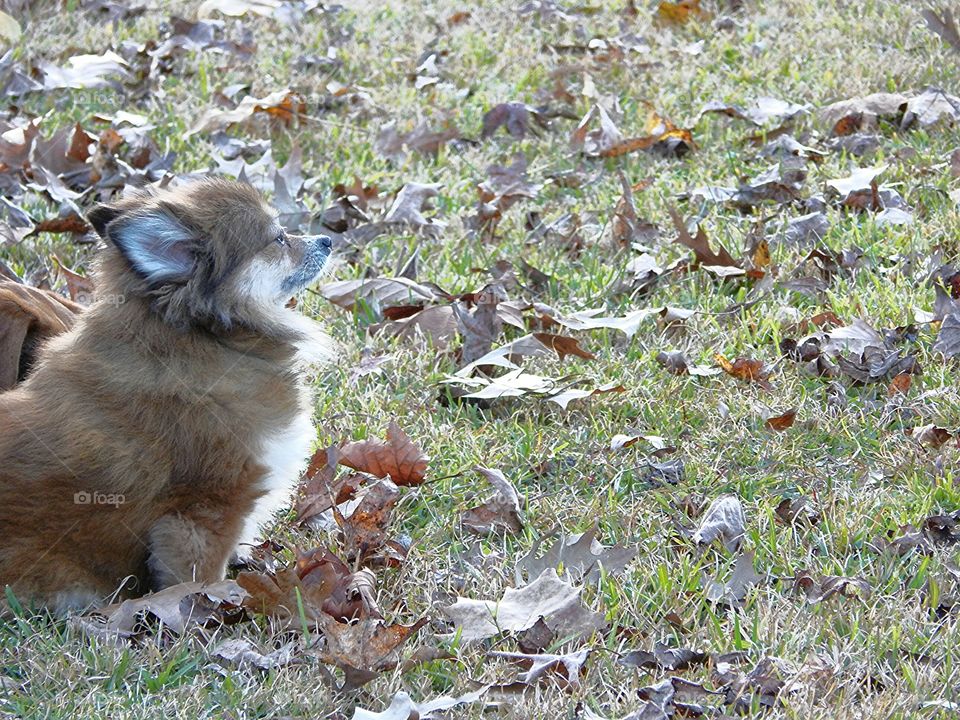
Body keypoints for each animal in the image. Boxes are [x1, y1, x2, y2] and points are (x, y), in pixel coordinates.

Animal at [0, 177, 334, 612]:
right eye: (278, 238)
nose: (328, 240)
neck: (213, 339)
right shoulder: (205, 513)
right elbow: (201, 576)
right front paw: (215, 605)